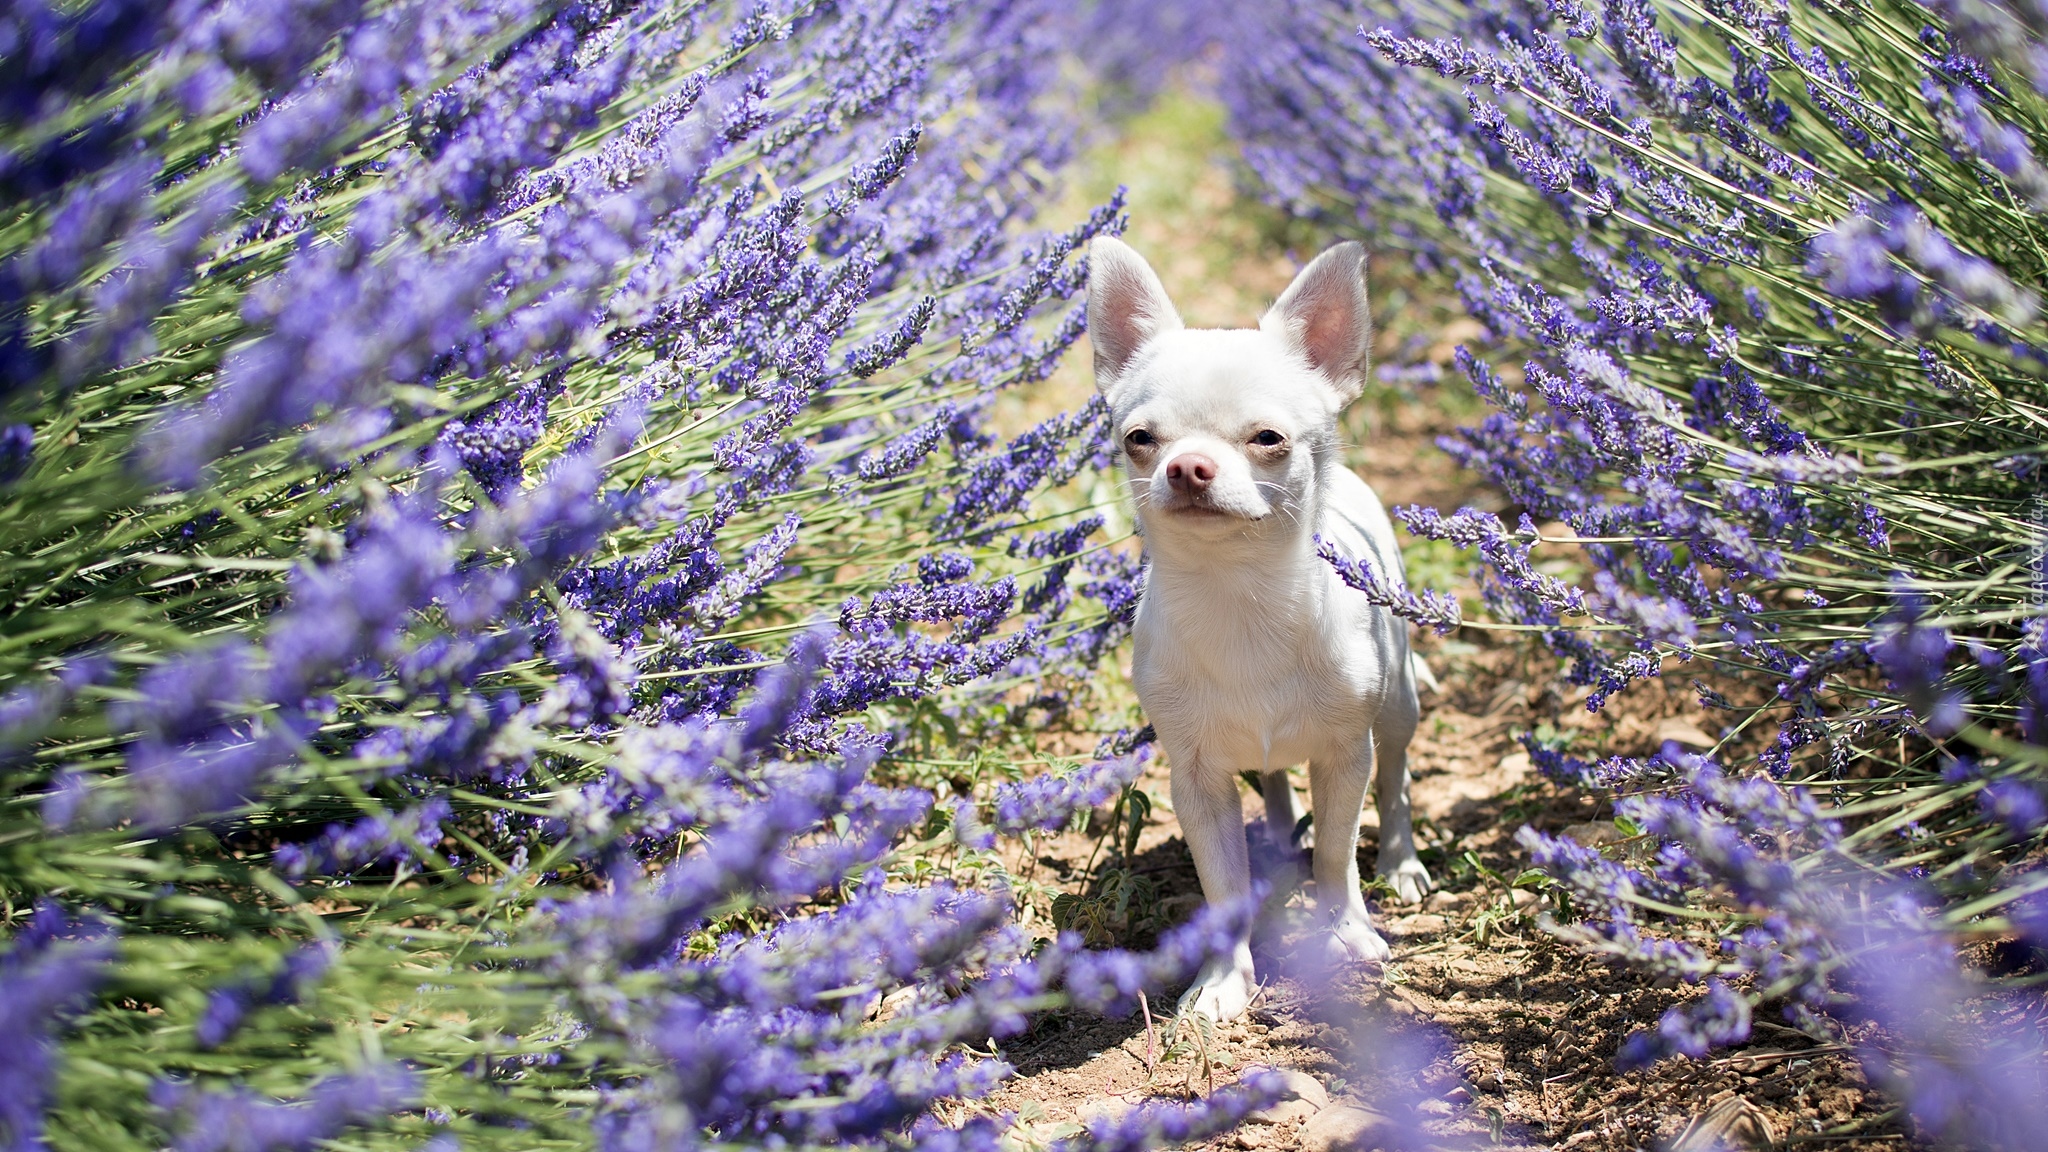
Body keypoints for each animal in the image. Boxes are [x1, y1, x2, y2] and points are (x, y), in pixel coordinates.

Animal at [1089, 237, 1425, 1016]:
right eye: (1139, 439)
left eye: (1268, 438)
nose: (1187, 465)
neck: (1239, 598)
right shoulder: (1196, 781)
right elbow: (1223, 886)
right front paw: (1222, 983)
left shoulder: (1346, 756)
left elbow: (1336, 853)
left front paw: (1347, 934)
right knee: (1272, 781)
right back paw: (1275, 838)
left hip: (1397, 705)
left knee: (1396, 779)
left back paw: (1400, 861)